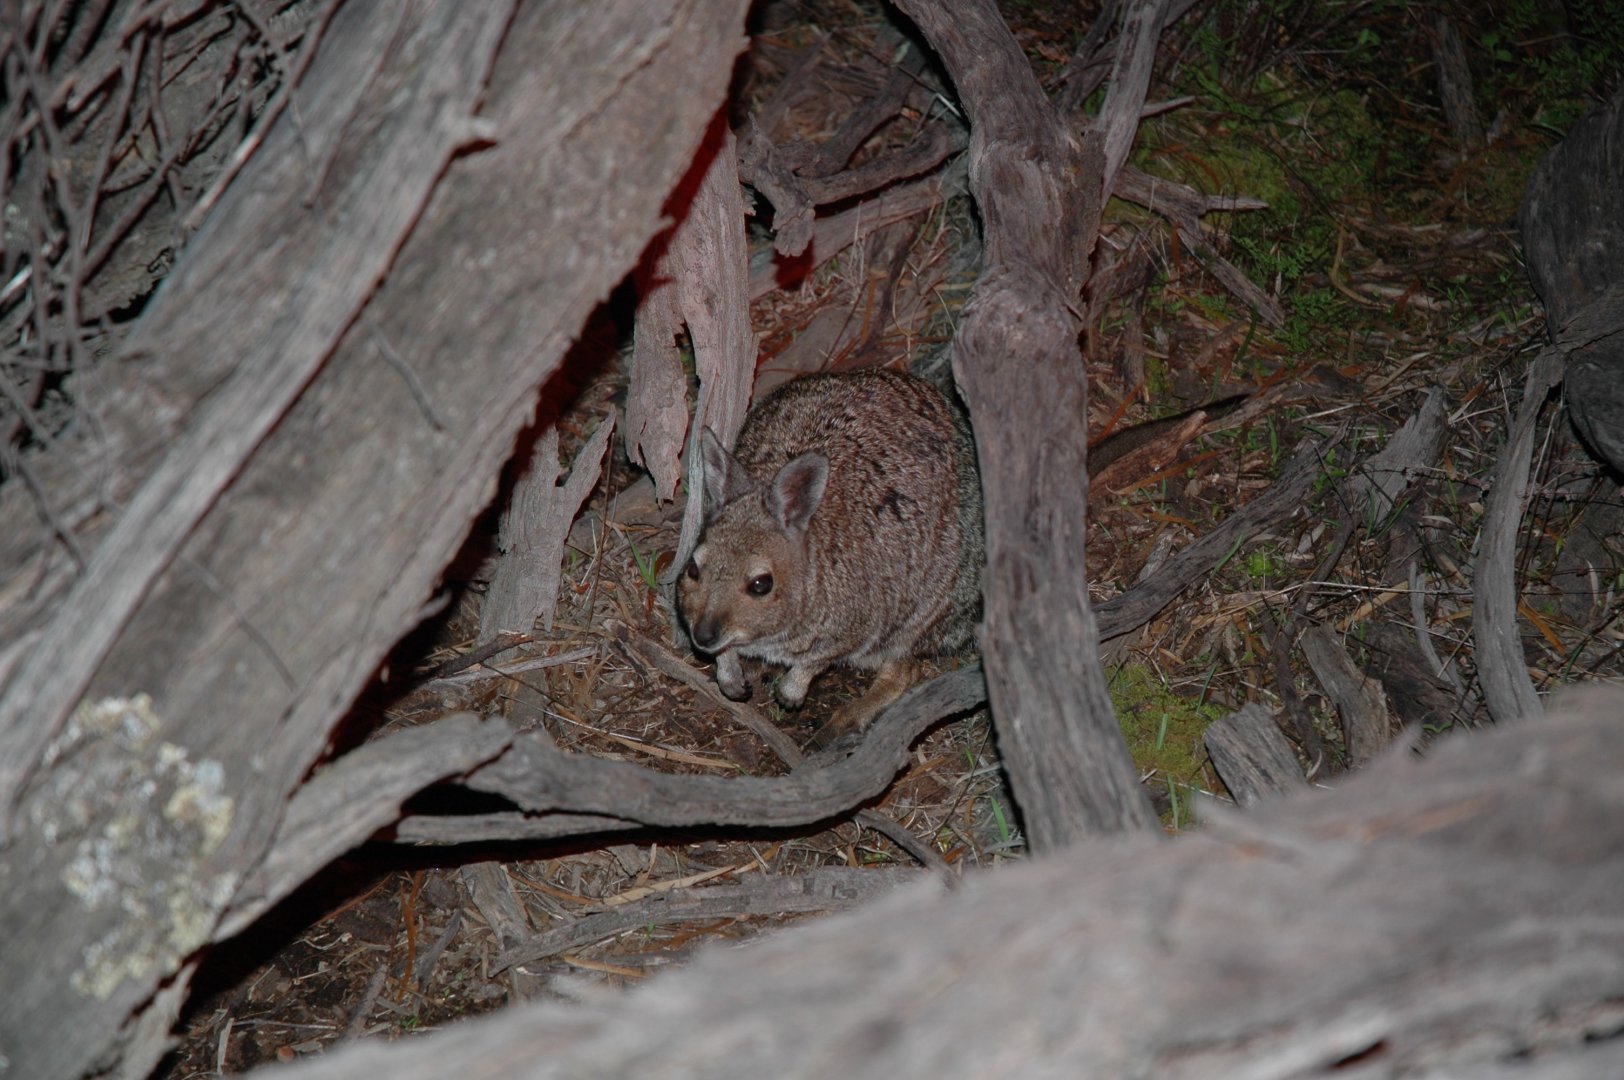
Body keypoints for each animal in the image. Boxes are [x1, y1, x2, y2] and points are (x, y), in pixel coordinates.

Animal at [678, 367, 983, 747]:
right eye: (693, 568)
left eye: (762, 584)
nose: (702, 636)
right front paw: (731, 677)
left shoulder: (856, 628)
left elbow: (817, 661)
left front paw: (790, 693)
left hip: (919, 618)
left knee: (904, 671)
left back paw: (842, 723)